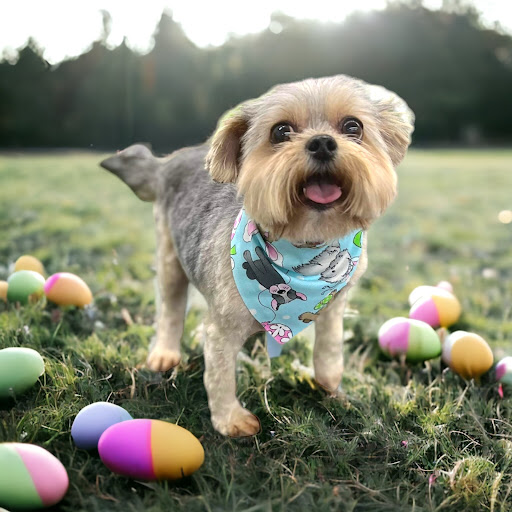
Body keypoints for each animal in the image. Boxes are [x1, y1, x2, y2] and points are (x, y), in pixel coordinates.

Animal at [101, 75, 416, 436]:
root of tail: (169, 161)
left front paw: (331, 388)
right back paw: (165, 353)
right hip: (170, 256)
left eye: (353, 126)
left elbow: (329, 350)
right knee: (171, 308)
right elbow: (220, 374)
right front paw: (230, 420)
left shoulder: (334, 306)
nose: (322, 143)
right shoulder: (222, 327)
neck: (304, 244)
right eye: (280, 131)